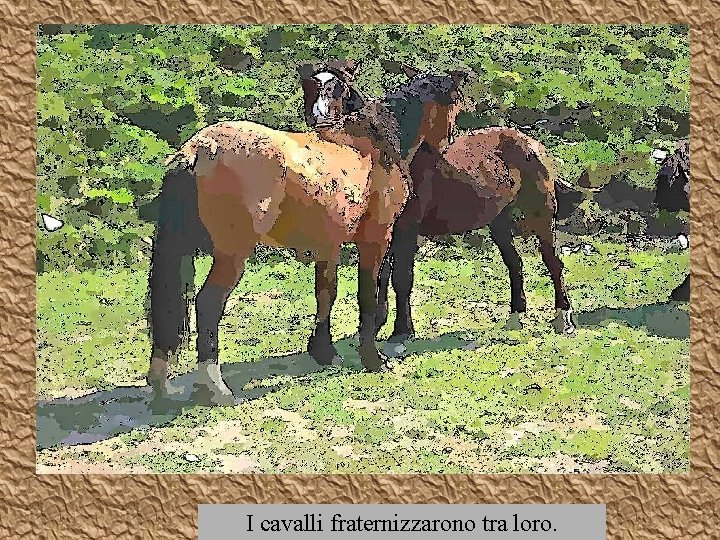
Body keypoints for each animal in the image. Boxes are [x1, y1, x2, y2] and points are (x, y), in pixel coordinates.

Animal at [146, 60, 465, 405]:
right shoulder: (376, 240)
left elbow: (326, 292)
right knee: (207, 305)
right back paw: (216, 389)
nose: (448, 142)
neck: (371, 148)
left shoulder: (329, 245)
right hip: (232, 255)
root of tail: (199, 148)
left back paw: (162, 385)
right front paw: (372, 358)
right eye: (454, 103)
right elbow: (367, 294)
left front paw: (324, 352)